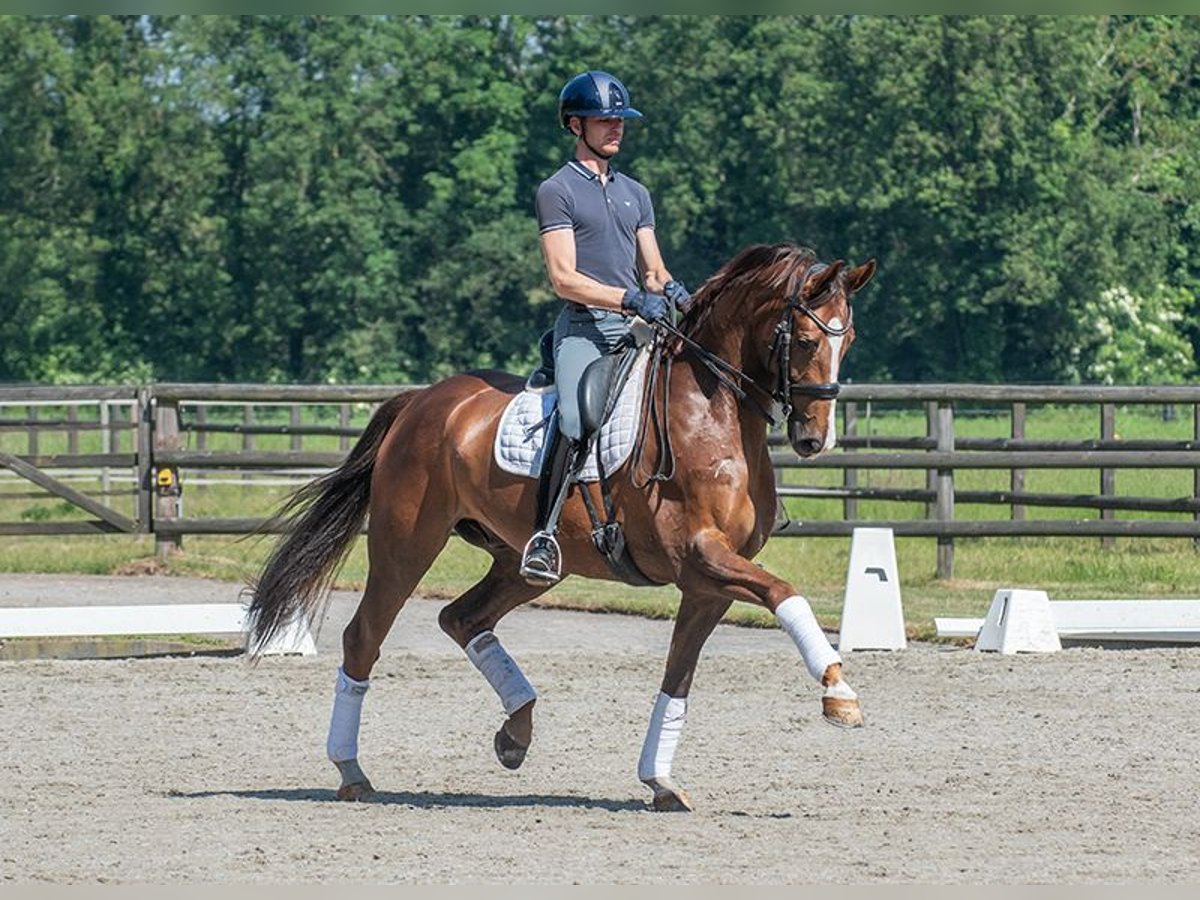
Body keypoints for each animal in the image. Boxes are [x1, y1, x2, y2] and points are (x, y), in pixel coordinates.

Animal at [248, 243, 878, 816]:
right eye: (806, 341)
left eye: (849, 342)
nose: (814, 440)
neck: (713, 414)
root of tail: (422, 401)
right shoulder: (701, 556)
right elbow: (785, 593)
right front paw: (838, 692)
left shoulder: (706, 583)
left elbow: (678, 676)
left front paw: (659, 781)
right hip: (406, 545)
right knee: (365, 637)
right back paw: (352, 770)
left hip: (522, 560)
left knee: (463, 618)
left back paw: (516, 732)